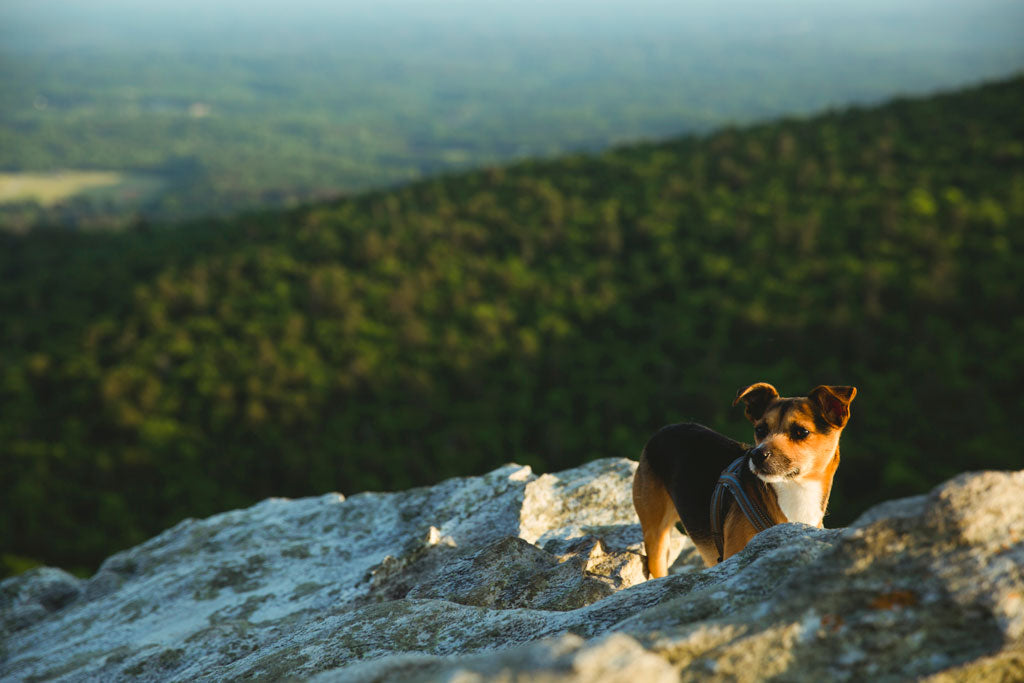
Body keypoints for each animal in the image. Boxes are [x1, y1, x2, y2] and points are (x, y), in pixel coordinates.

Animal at [630, 382, 856, 573]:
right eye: (760, 430)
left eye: (801, 432)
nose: (757, 455)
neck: (796, 490)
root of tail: (662, 430)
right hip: (656, 537)